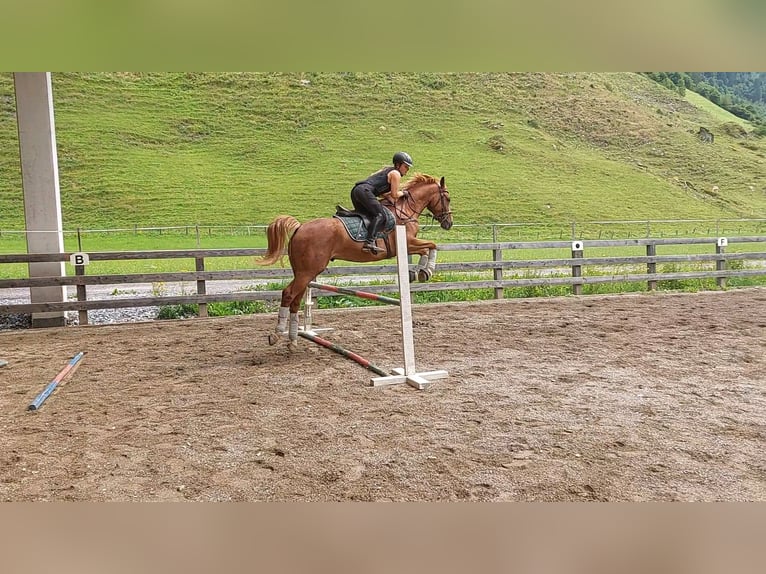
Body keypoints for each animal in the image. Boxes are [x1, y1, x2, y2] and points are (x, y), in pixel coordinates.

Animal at [258, 173, 453, 346]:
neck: (404, 211)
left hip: (303, 272)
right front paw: (426, 271)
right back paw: (276, 335)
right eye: (448, 198)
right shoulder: (407, 243)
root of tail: (300, 227)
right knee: (288, 294)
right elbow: (431, 246)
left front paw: (419, 272)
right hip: (308, 271)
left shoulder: (409, 244)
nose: (448, 223)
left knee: (296, 299)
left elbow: (428, 248)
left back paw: (292, 340)